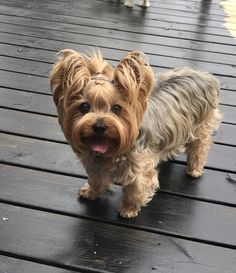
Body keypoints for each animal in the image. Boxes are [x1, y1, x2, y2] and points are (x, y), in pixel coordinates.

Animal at [50, 49, 223, 217]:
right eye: (84, 107)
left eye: (117, 108)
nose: (99, 126)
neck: (112, 149)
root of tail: (206, 76)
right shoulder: (95, 164)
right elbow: (96, 178)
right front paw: (90, 192)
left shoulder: (139, 167)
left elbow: (136, 189)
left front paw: (128, 210)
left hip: (202, 124)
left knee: (200, 146)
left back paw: (194, 170)